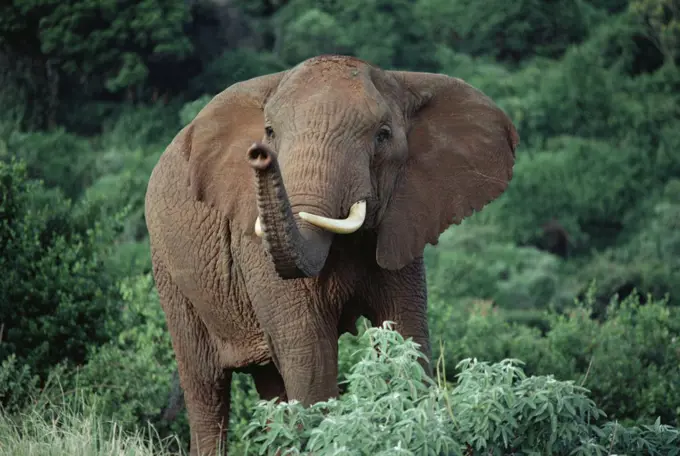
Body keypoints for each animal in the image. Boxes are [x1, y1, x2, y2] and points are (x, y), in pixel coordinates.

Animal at [142, 54, 516, 456]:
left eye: (383, 135)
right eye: (269, 132)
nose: (258, 154)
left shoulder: (403, 224)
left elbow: (406, 336)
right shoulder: (255, 246)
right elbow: (310, 355)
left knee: (269, 384)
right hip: (169, 269)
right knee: (206, 388)